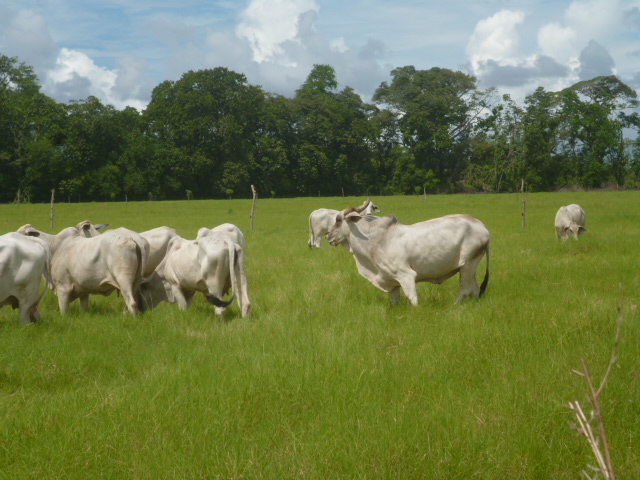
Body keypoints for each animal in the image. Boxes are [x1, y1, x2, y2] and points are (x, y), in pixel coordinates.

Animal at [328, 200, 492, 306]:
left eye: (338, 220)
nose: (328, 237)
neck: (376, 240)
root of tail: (481, 225)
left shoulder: (406, 276)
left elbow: (413, 301)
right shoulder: (392, 283)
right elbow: (394, 302)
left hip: (467, 265)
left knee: (465, 290)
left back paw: (453, 306)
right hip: (471, 266)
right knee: (475, 290)